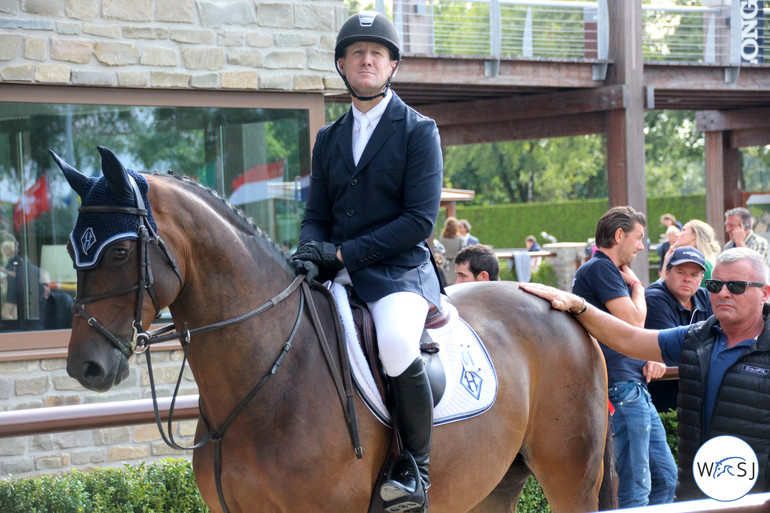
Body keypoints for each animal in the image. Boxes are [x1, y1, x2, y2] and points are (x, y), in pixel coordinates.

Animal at [52, 147, 612, 512]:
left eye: (120, 251)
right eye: (73, 250)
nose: (86, 366)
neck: (267, 376)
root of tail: (561, 306)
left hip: (570, 479)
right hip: (491, 485)